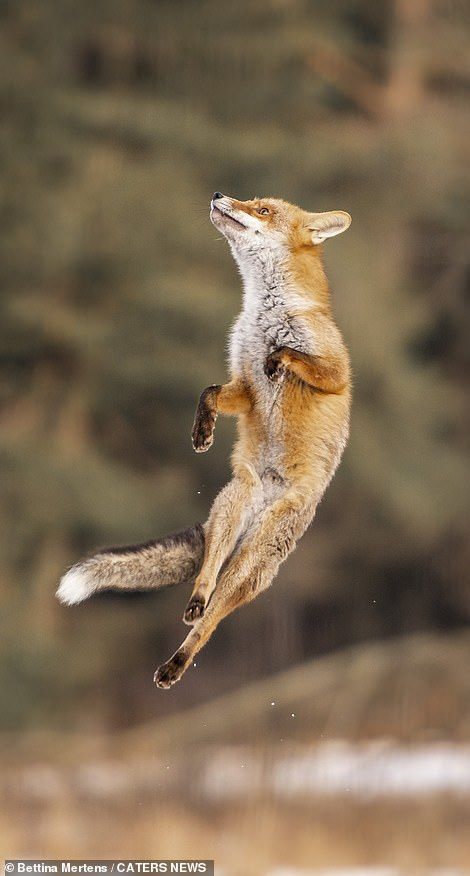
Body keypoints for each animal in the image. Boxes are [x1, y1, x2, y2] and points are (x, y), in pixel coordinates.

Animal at [56, 193, 352, 692]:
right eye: (252, 201)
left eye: (264, 210)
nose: (218, 196)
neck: (264, 314)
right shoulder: (243, 386)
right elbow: (210, 391)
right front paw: (202, 432)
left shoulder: (336, 373)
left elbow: (296, 356)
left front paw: (279, 358)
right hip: (233, 505)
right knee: (207, 576)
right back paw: (194, 601)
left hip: (251, 564)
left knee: (211, 622)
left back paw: (176, 664)